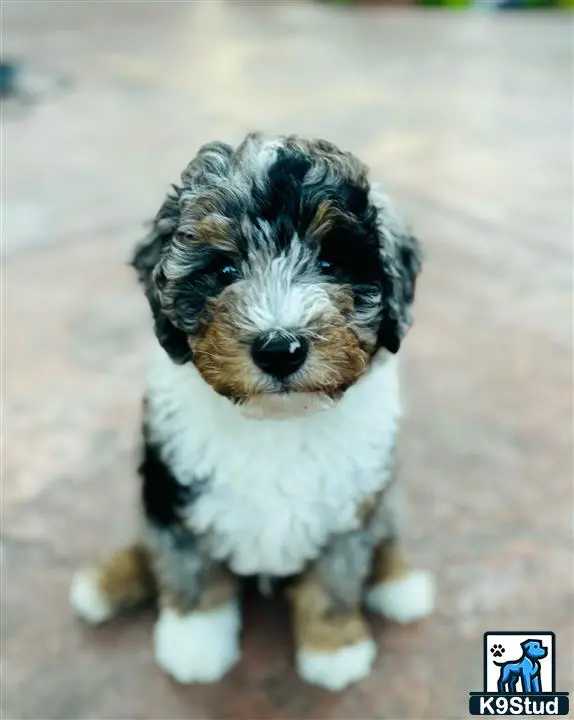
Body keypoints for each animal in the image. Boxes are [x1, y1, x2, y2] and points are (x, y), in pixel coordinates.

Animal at [70, 132, 434, 688]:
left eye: (332, 265)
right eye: (223, 270)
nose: (280, 349)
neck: (278, 422)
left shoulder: (350, 507)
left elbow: (336, 578)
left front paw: (334, 649)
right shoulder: (174, 493)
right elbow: (189, 570)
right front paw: (195, 644)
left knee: (386, 530)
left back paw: (399, 582)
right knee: (145, 543)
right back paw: (106, 582)